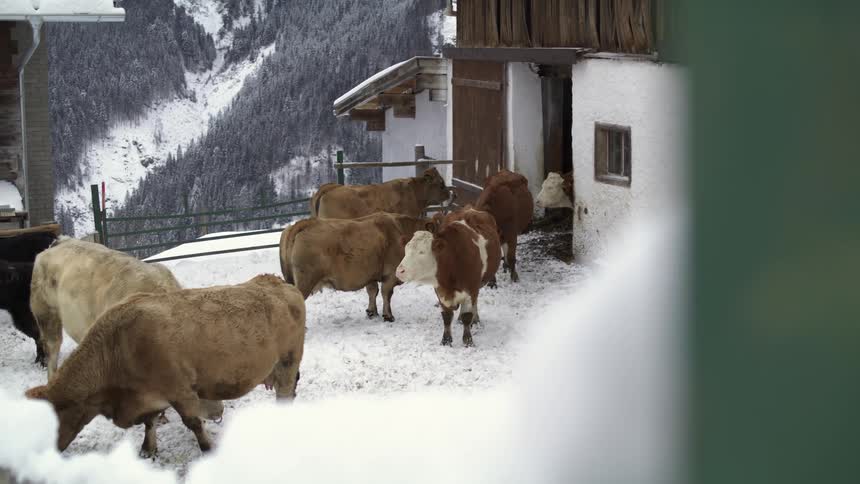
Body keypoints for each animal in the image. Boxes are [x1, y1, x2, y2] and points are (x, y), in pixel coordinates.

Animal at [25, 274, 305, 456]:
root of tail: (276, 281)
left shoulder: (180, 391)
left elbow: (193, 423)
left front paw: (207, 449)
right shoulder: (149, 395)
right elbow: (150, 422)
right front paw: (148, 449)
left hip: (288, 361)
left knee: (285, 393)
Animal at [280, 213, 429, 322]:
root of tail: (305, 223)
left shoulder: (370, 275)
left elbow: (372, 291)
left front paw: (371, 312)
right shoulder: (391, 274)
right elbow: (386, 293)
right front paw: (388, 316)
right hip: (306, 281)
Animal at [396, 207, 501, 347]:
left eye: (422, 252)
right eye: (406, 249)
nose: (399, 271)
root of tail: (470, 209)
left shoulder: (471, 288)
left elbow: (467, 316)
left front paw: (468, 341)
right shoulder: (440, 291)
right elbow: (446, 316)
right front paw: (446, 340)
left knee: (474, 304)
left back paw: (475, 319)